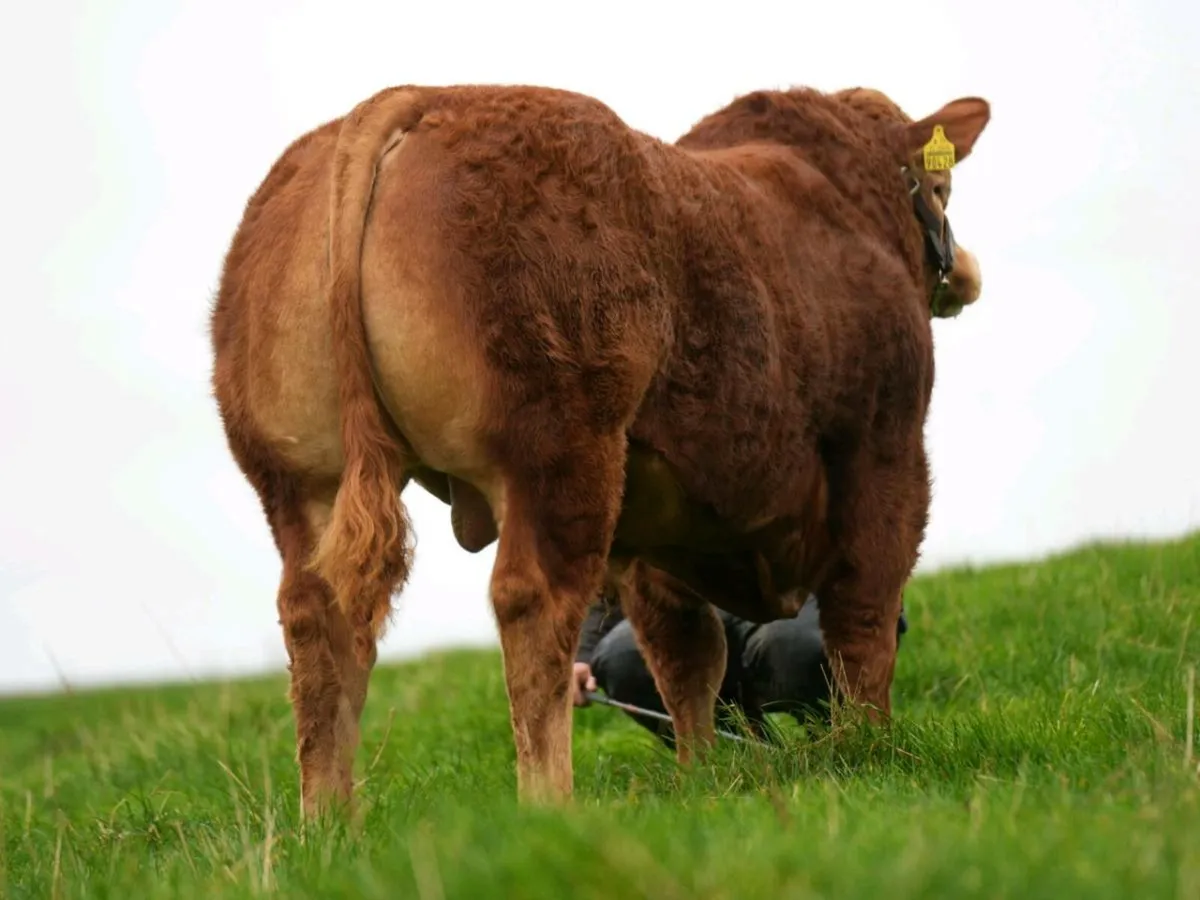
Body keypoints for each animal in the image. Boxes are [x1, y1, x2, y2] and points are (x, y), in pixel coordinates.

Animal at [209, 81, 990, 815]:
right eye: (942, 187)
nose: (964, 273)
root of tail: (415, 98)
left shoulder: (664, 517)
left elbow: (684, 655)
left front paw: (703, 776)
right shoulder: (885, 448)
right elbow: (863, 615)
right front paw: (871, 746)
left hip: (300, 479)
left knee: (318, 621)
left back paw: (328, 823)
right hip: (557, 446)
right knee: (533, 604)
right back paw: (549, 804)